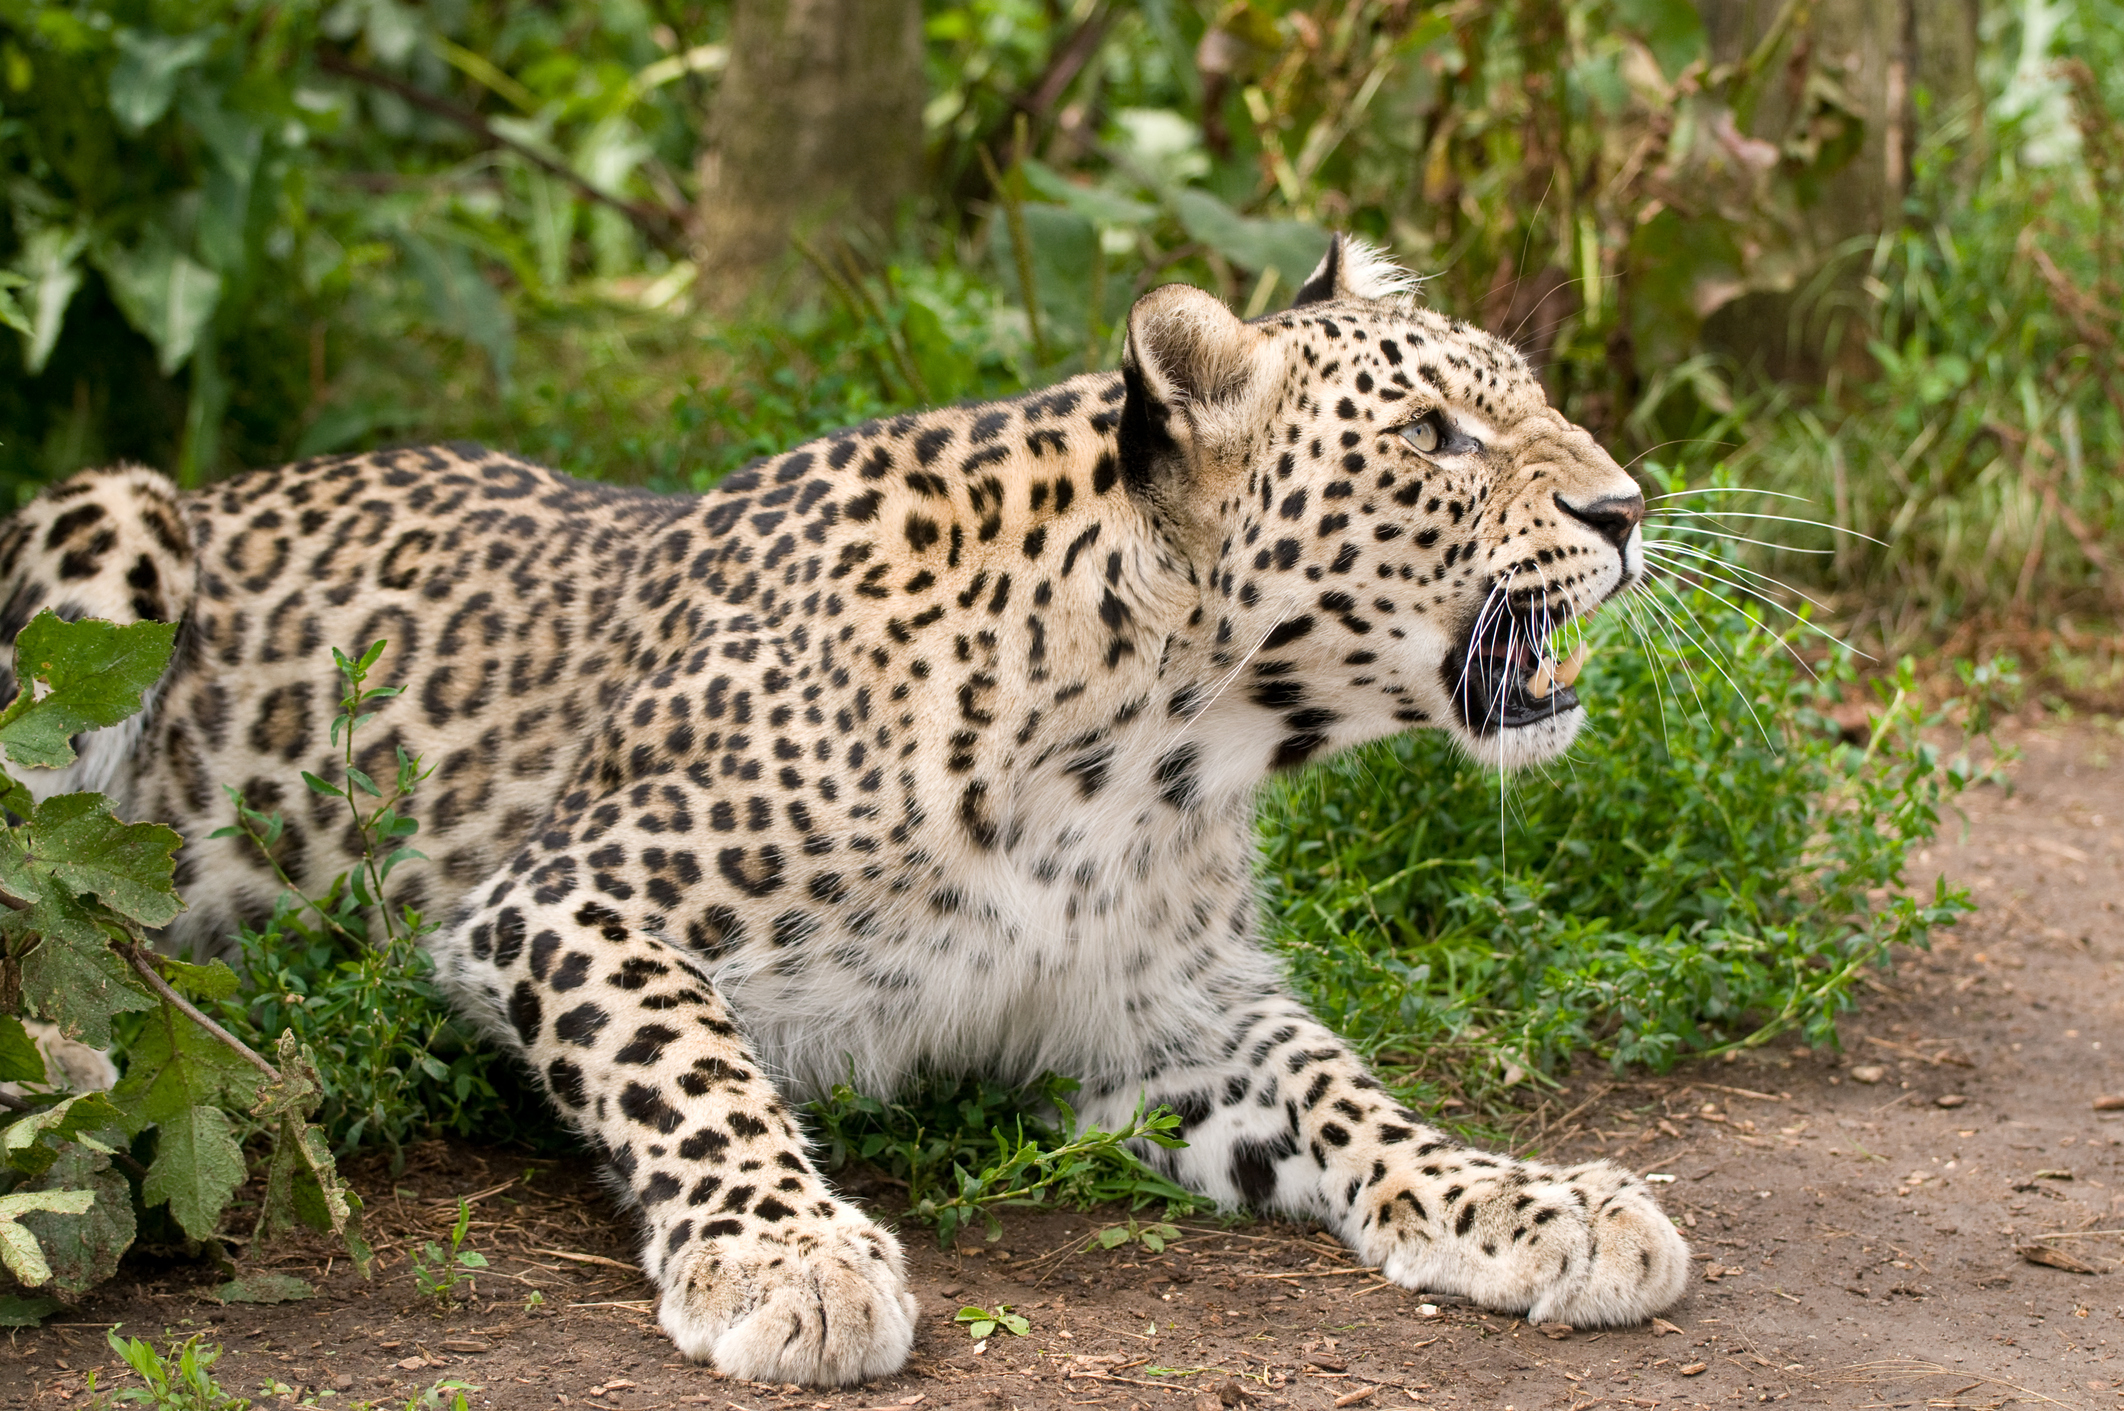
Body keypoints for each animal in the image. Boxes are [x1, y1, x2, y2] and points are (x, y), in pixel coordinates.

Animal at [0, 236, 1691, 1385]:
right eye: (1430, 437)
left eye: (1536, 401)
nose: (1627, 507)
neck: (1157, 756)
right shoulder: (564, 892)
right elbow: (686, 1059)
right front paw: (786, 1251)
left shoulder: (1154, 1016)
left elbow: (1346, 1089)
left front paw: (1526, 1196)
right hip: (113, 521)